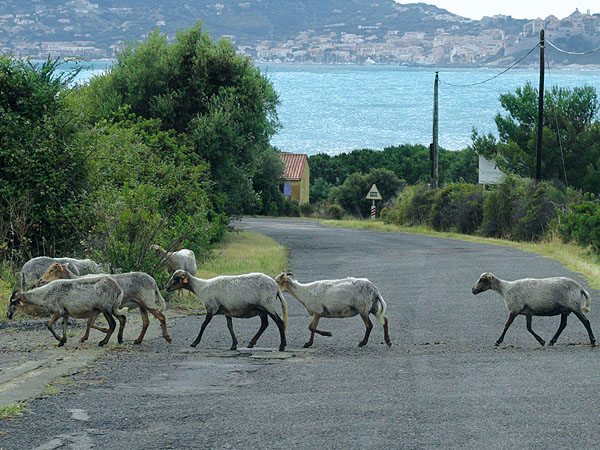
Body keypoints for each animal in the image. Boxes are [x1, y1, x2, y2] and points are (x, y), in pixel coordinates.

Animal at [40, 260, 171, 344]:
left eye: (52, 270)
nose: (41, 280)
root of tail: (153, 281)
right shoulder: (97, 308)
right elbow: (90, 323)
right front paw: (86, 337)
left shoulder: (97, 308)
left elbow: (90, 323)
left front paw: (99, 333)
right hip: (141, 304)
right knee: (145, 322)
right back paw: (137, 340)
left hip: (147, 302)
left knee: (161, 317)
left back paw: (167, 337)